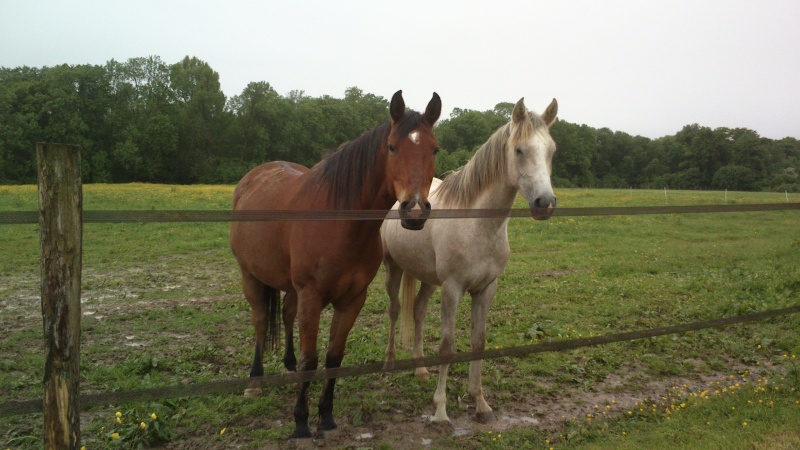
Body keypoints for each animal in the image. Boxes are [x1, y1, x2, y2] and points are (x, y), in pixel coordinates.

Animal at [228, 89, 440, 438]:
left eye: (434, 148)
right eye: (392, 146)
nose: (415, 211)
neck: (340, 222)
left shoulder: (352, 300)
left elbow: (333, 357)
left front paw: (326, 415)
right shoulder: (312, 297)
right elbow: (311, 360)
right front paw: (301, 422)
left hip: (290, 287)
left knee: (285, 314)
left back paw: (288, 368)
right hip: (251, 276)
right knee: (259, 321)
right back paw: (254, 382)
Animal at [382, 96, 556, 424]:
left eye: (552, 150)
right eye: (519, 150)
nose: (545, 203)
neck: (477, 224)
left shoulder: (486, 288)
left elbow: (478, 342)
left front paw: (480, 402)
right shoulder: (453, 288)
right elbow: (448, 347)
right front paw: (440, 410)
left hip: (428, 278)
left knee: (418, 311)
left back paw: (420, 369)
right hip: (392, 268)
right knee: (396, 311)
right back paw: (390, 362)